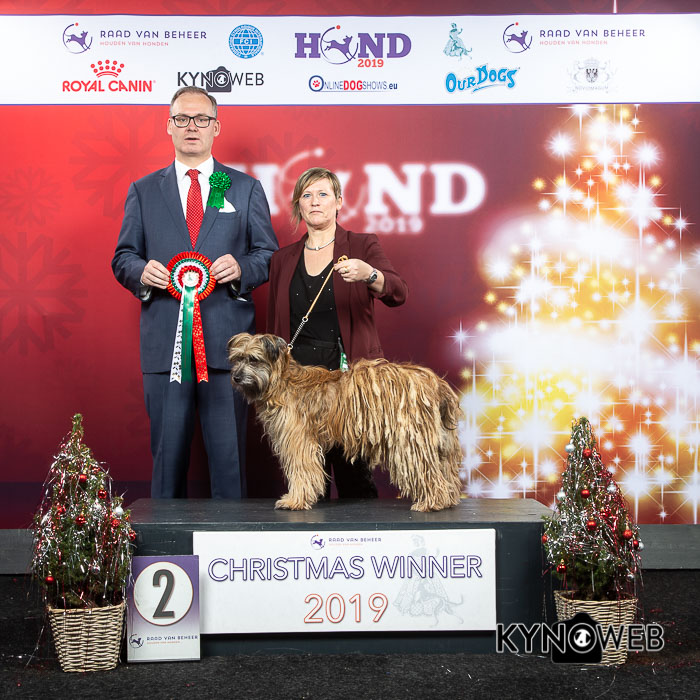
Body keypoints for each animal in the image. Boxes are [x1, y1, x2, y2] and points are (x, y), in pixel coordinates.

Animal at [228, 333, 463, 512]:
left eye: (253, 359)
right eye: (237, 359)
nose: (236, 377)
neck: (282, 381)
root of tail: (436, 383)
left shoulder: (299, 441)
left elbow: (301, 471)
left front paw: (295, 501)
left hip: (410, 442)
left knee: (429, 473)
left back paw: (431, 503)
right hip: (439, 443)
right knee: (445, 472)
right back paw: (448, 500)